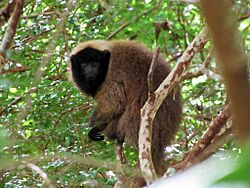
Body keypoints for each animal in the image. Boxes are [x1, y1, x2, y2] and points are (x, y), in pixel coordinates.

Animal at [69, 39, 183, 178]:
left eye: (95, 62)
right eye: (84, 64)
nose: (91, 69)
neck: (107, 62)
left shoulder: (113, 74)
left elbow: (115, 104)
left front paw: (94, 128)